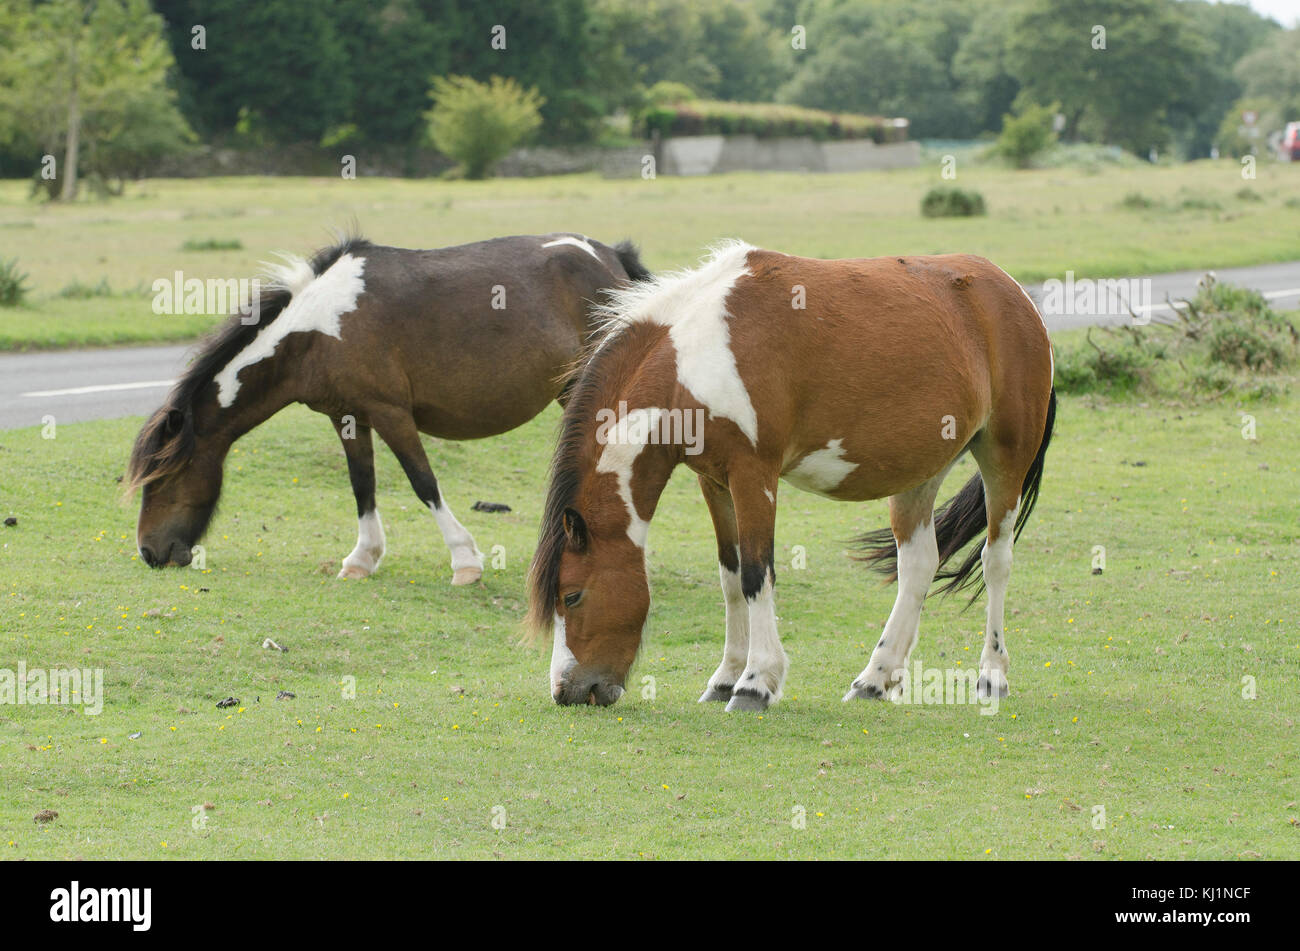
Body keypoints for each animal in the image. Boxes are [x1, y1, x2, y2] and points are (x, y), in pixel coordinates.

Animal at [127, 232, 649, 585]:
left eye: (162, 479)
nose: (150, 552)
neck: (317, 332)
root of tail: (609, 256)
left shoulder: (391, 413)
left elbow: (423, 483)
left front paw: (465, 561)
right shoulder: (348, 417)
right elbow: (363, 485)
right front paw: (362, 558)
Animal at [527, 241, 1056, 710]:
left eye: (572, 596)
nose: (567, 691)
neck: (694, 358)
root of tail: (1016, 295)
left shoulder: (753, 472)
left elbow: (757, 572)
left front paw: (754, 683)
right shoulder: (713, 481)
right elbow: (731, 575)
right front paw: (724, 678)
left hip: (1004, 456)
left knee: (996, 560)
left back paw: (991, 677)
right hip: (922, 470)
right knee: (919, 564)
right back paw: (876, 678)